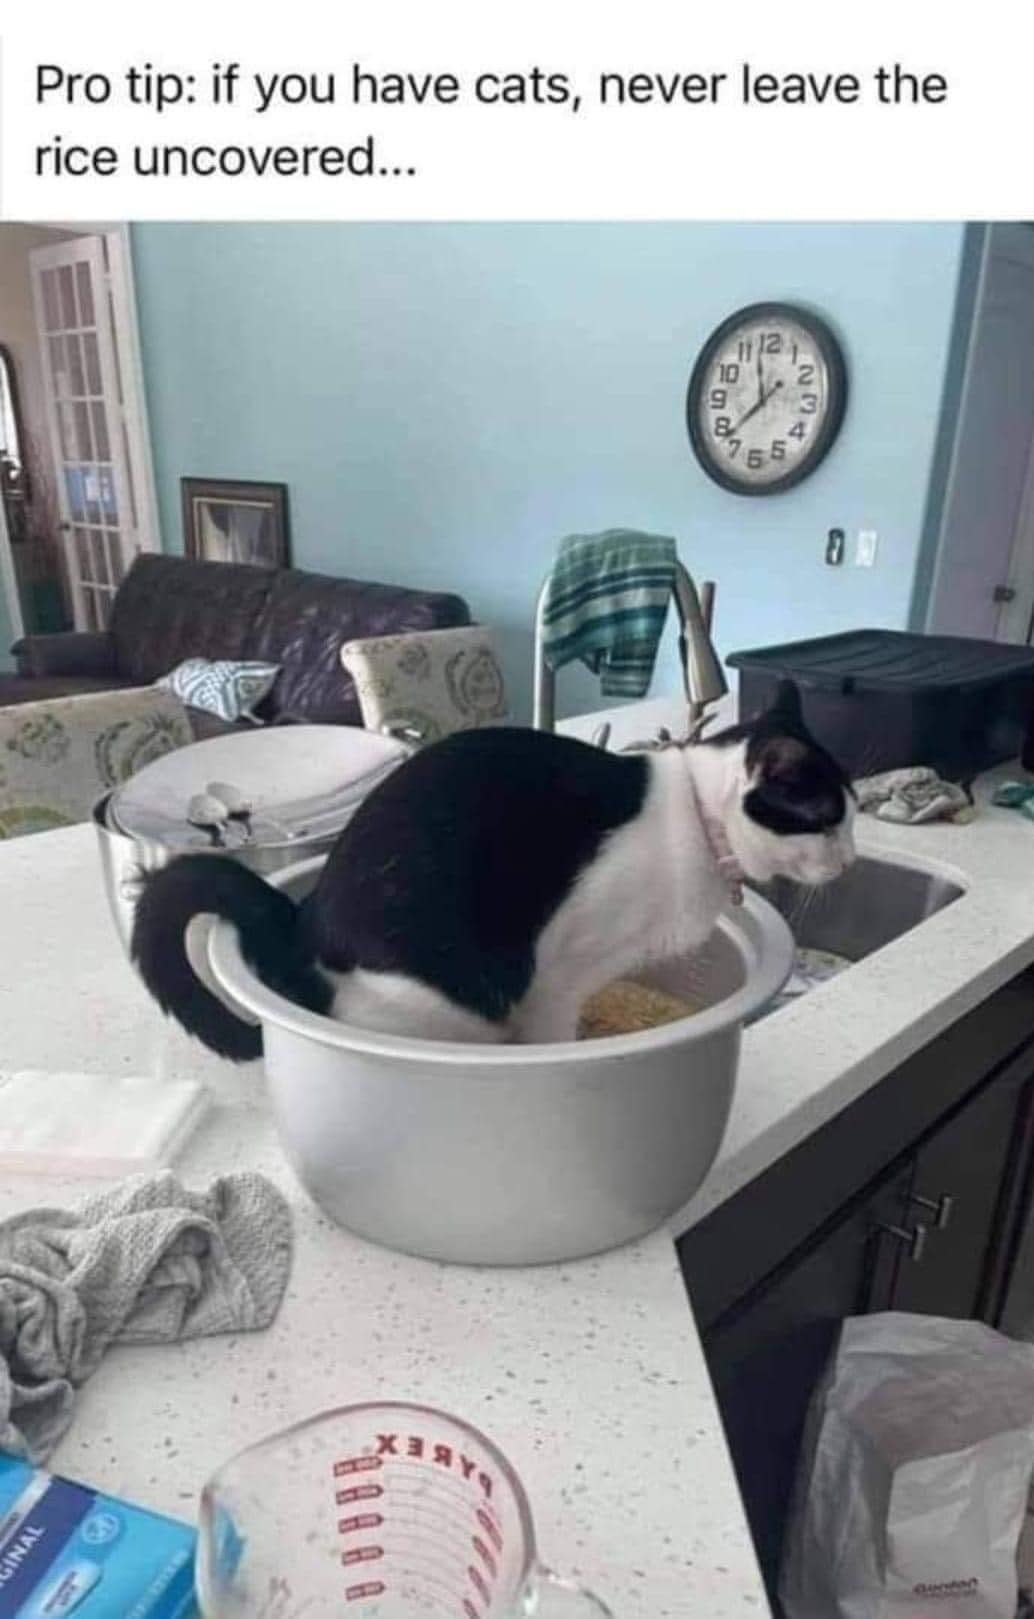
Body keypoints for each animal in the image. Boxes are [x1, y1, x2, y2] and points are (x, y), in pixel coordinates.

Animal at [130, 679, 855, 1060]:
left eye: (851, 812)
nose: (850, 857)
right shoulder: (556, 979)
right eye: (828, 819)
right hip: (446, 1005)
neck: (696, 818)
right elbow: (552, 1037)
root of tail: (300, 927)